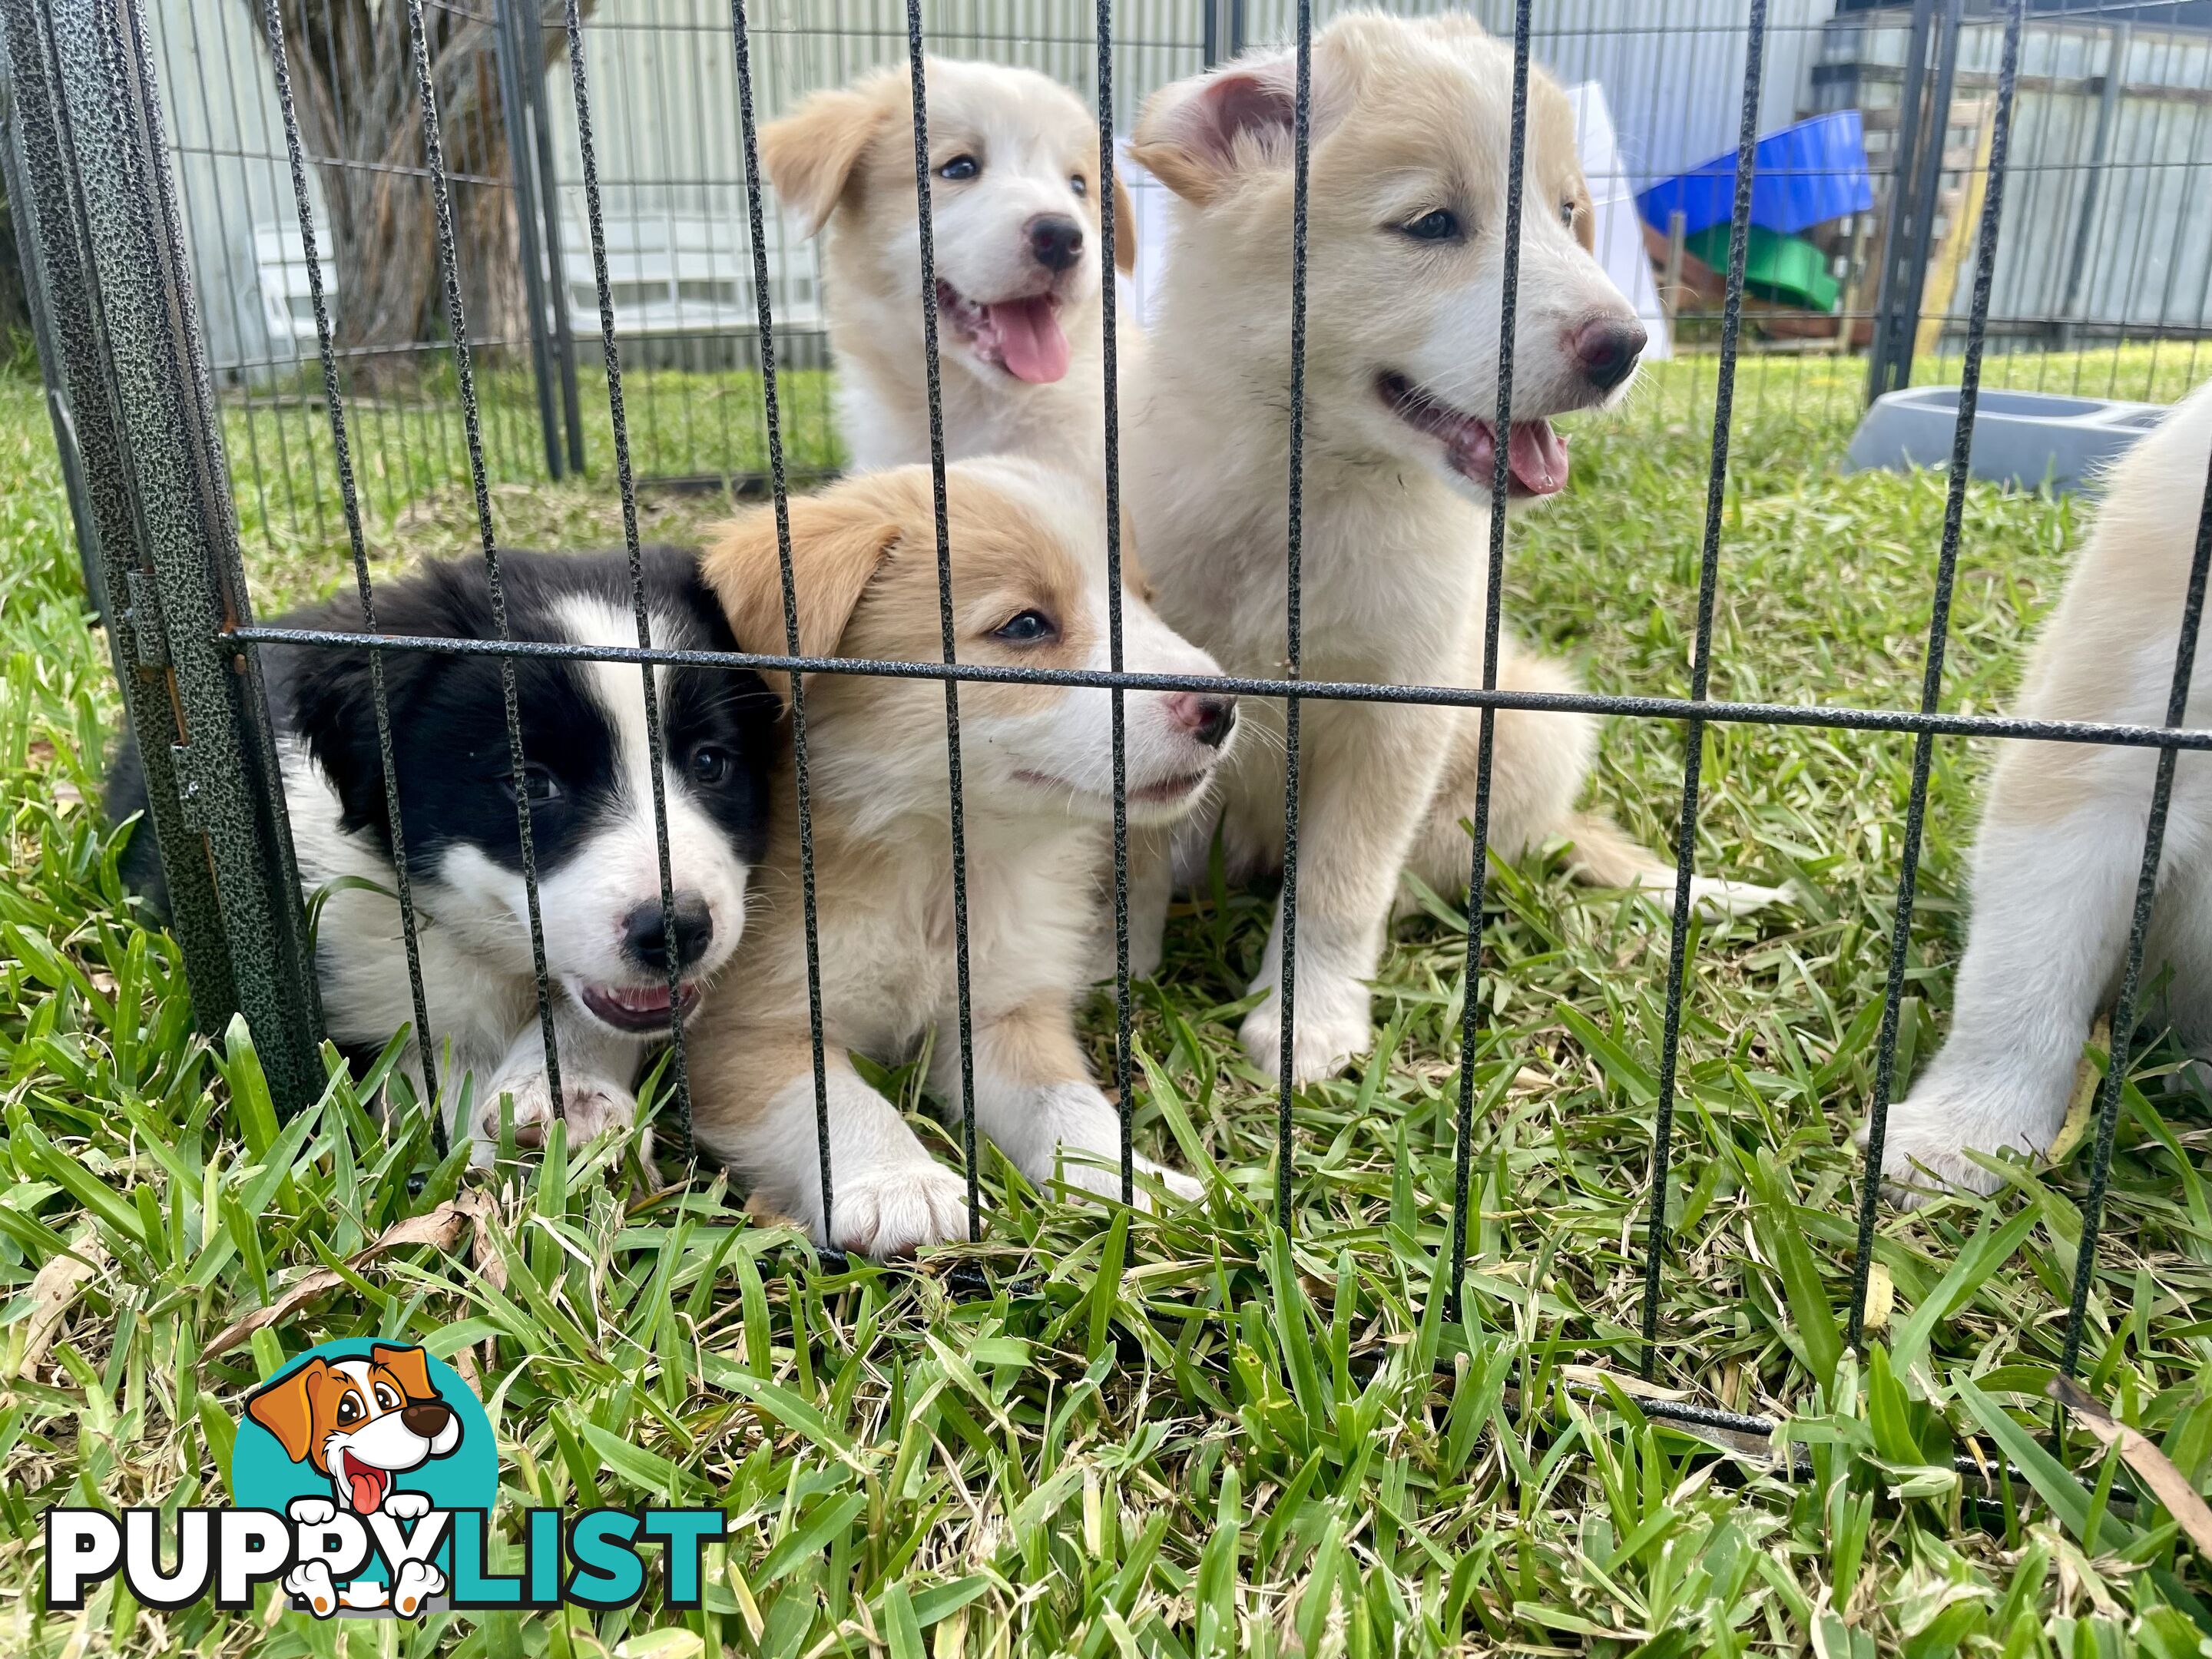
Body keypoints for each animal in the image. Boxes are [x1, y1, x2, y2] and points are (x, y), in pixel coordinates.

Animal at [1124, 16, 1778, 1092]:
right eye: (1431, 224)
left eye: (1567, 213)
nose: (1626, 346)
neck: (1310, 489)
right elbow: (1130, 845)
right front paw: (1110, 971)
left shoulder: (1400, 710)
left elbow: (1341, 884)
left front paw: (1307, 1023)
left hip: (1533, 729)